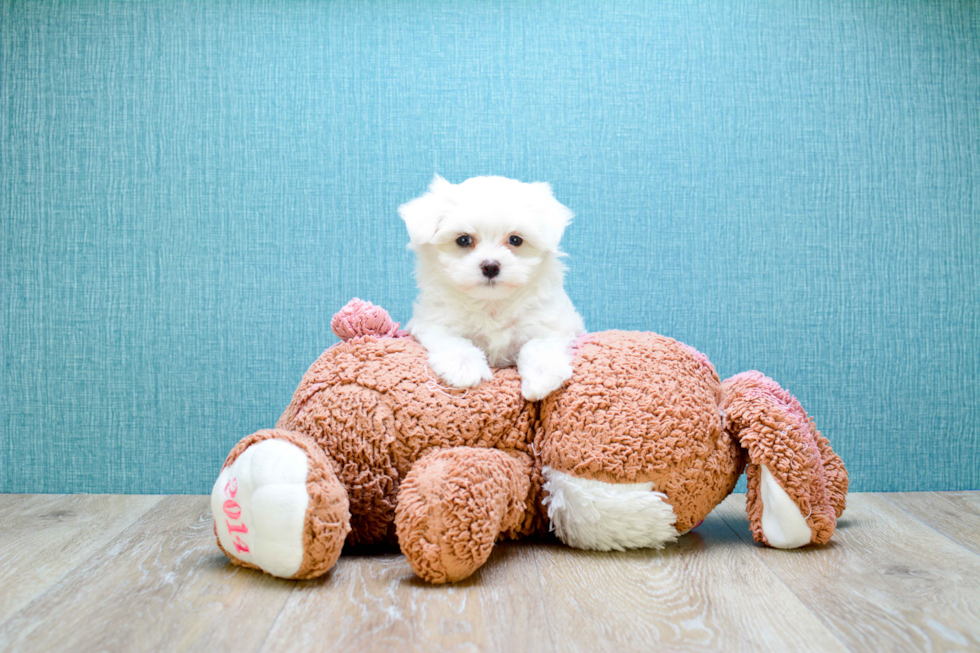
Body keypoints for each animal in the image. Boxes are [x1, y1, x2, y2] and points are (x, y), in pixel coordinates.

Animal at [396, 173, 580, 400]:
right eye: (463, 240)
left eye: (515, 239)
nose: (491, 266)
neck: (491, 304)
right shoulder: (434, 322)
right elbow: (453, 340)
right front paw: (464, 367)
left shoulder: (551, 323)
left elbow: (539, 344)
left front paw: (542, 377)